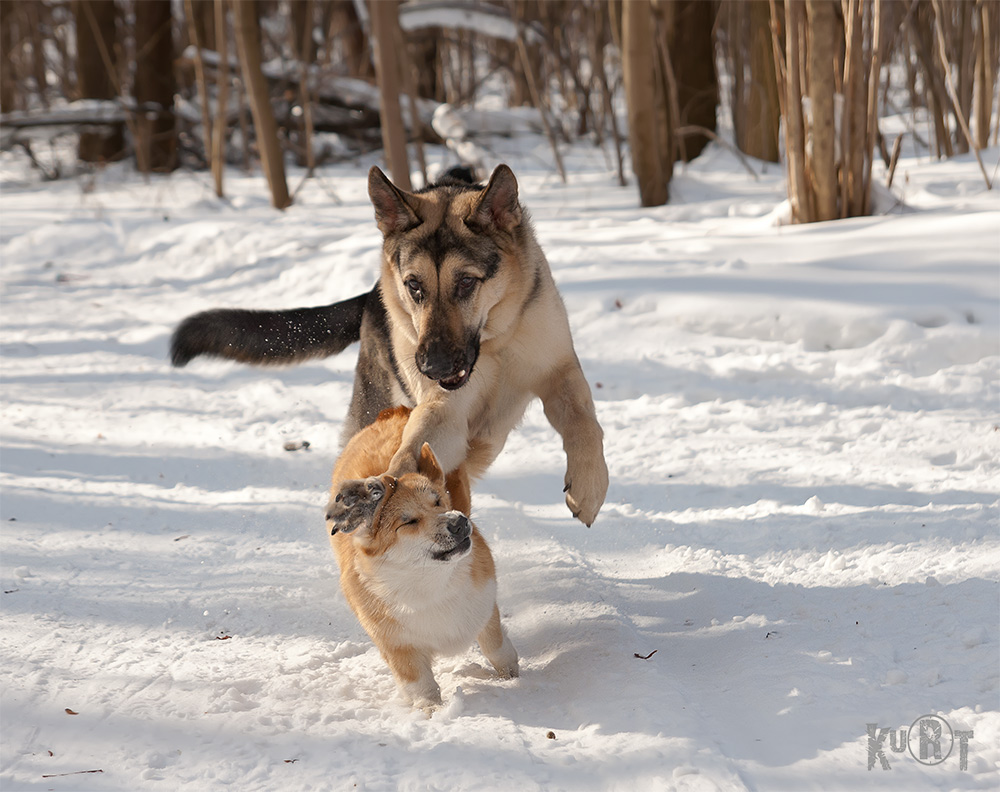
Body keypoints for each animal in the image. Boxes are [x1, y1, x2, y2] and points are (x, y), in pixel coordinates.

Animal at [171, 166, 604, 524]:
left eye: (466, 282)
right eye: (414, 286)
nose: (432, 366)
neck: (494, 343)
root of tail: (369, 297)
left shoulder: (559, 372)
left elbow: (584, 422)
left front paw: (588, 486)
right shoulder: (444, 411)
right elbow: (407, 455)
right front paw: (379, 490)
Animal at [326, 408, 520, 712]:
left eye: (438, 501)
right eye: (408, 522)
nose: (459, 523)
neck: (430, 583)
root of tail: (393, 413)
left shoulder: (484, 607)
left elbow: (495, 644)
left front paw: (512, 676)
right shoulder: (397, 645)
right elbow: (419, 682)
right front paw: (431, 710)